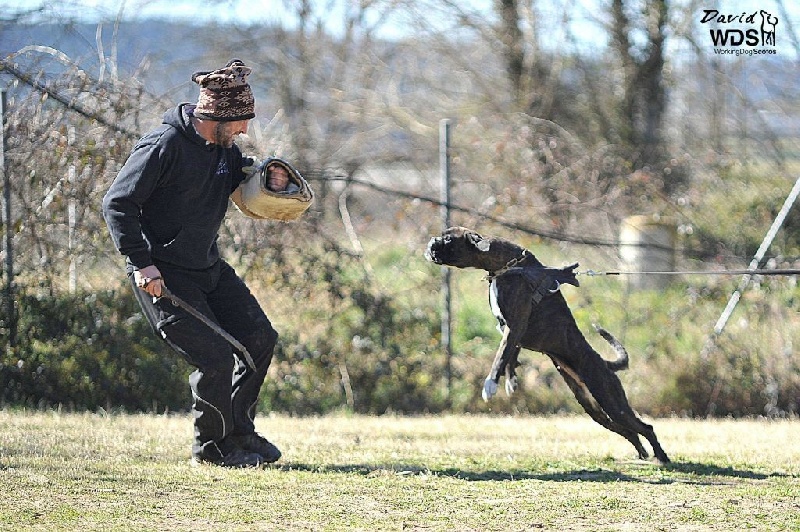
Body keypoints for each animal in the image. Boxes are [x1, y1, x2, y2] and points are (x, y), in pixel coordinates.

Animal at [424, 227, 668, 464]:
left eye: (448, 239)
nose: (431, 242)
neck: (508, 266)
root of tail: (605, 365)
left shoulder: (515, 325)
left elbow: (501, 355)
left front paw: (490, 385)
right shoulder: (508, 329)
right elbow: (510, 355)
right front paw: (511, 381)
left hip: (612, 402)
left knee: (645, 427)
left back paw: (661, 457)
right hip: (596, 410)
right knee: (629, 431)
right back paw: (642, 455)